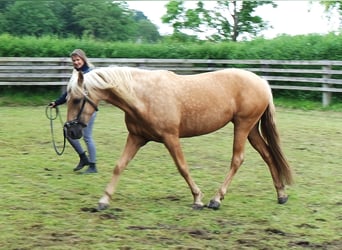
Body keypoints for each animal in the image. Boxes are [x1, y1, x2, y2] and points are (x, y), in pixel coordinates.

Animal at [65, 65, 294, 210]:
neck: (142, 97)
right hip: (251, 129)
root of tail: (262, 82)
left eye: (76, 99)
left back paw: (216, 199)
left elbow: (182, 167)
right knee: (268, 155)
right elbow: (119, 166)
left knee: (237, 159)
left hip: (243, 126)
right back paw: (281, 195)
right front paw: (104, 200)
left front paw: (198, 199)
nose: (71, 132)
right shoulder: (136, 138)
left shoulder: (171, 137)